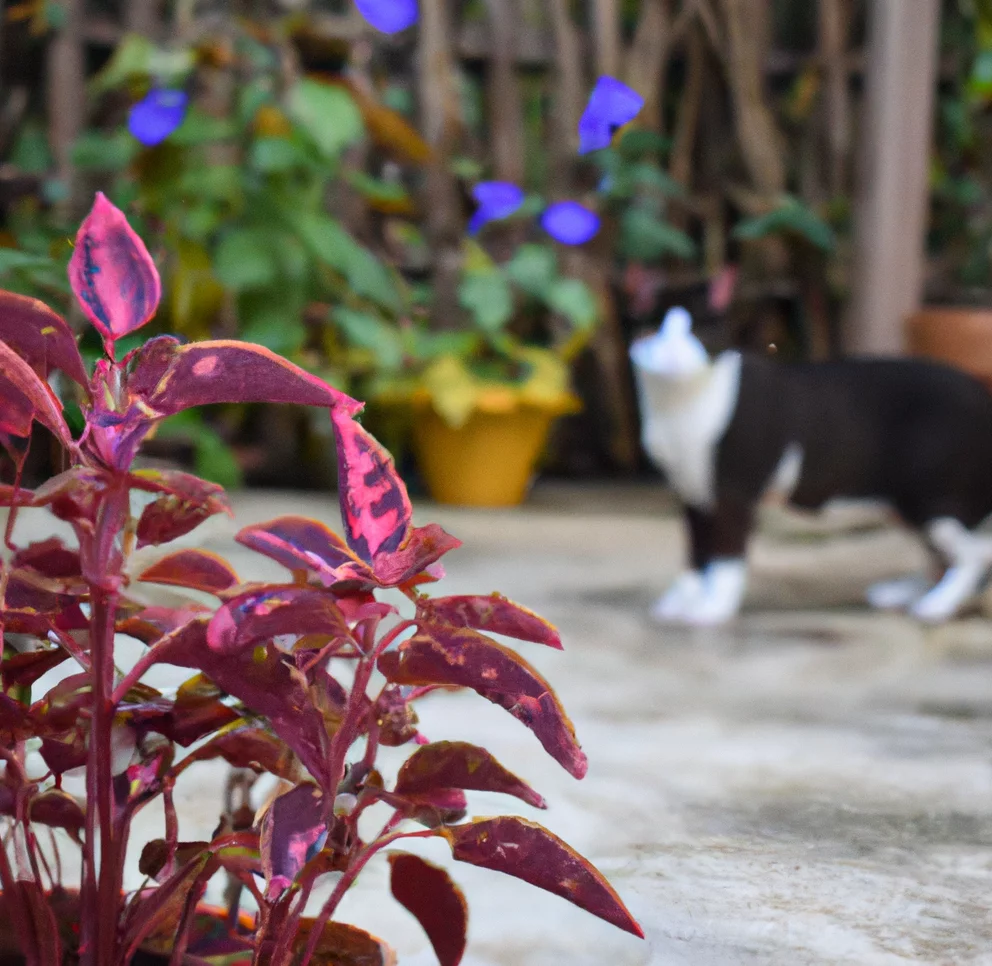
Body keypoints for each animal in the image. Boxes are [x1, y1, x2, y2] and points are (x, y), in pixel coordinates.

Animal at [632, 308, 992, 628]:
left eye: (704, 331)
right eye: (653, 326)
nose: (670, 354)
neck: (679, 398)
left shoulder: (731, 496)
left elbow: (724, 558)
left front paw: (712, 610)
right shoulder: (692, 496)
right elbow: (694, 557)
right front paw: (679, 603)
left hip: (931, 500)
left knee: (974, 554)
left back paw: (937, 605)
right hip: (906, 504)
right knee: (941, 555)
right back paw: (903, 593)